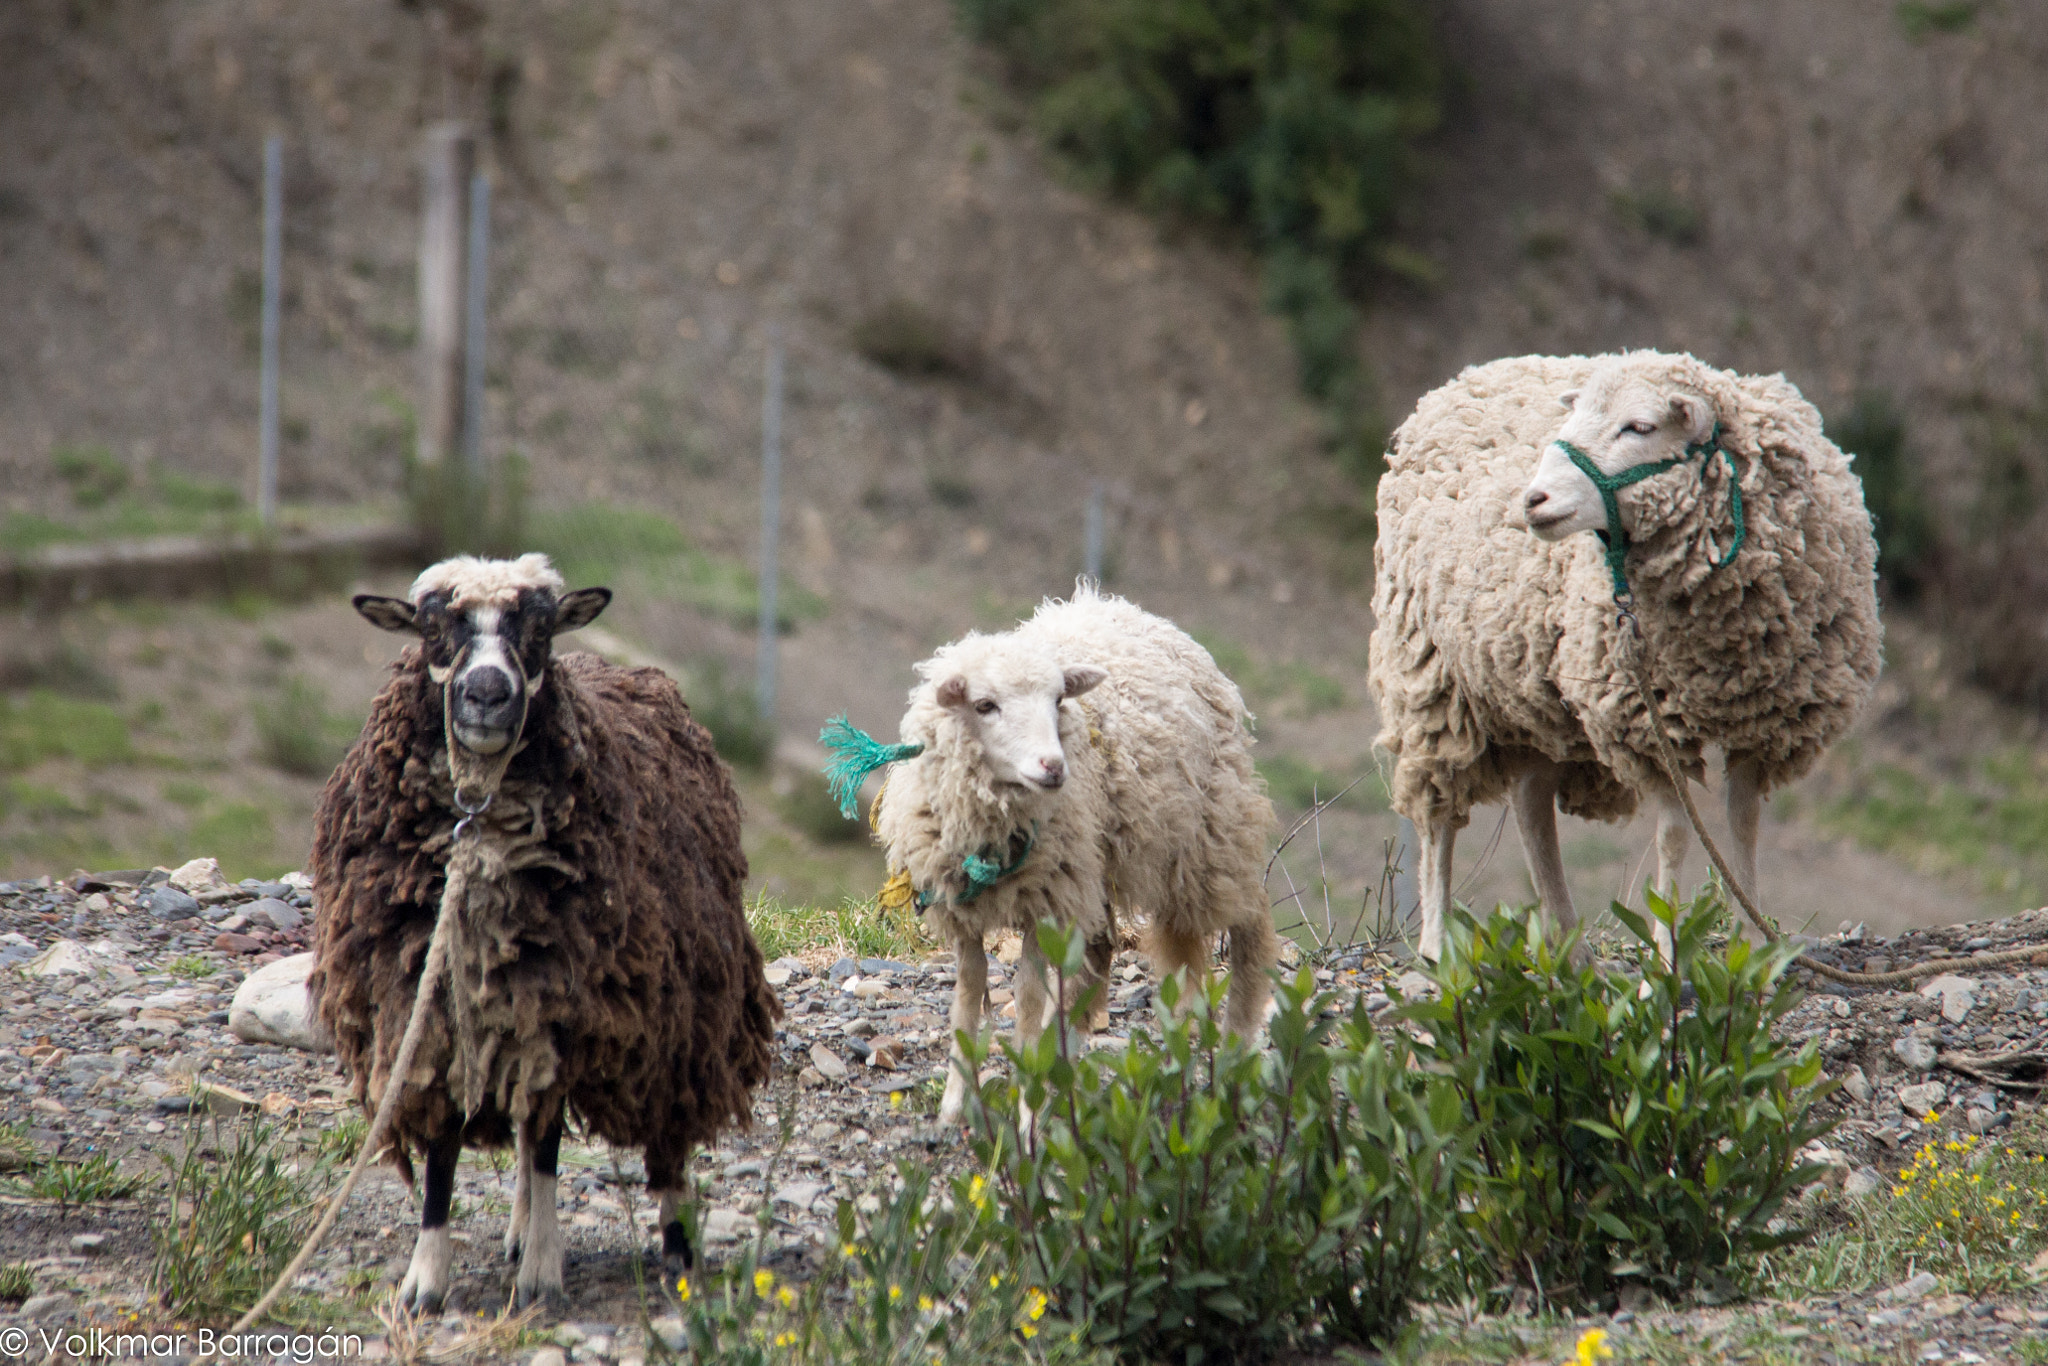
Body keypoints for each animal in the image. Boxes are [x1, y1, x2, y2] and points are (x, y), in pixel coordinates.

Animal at [308, 553, 781, 1312]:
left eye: (539, 628)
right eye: (432, 628)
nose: (487, 693)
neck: (478, 826)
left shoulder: (565, 1006)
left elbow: (552, 1142)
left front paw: (542, 1274)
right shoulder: (429, 1008)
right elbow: (445, 1154)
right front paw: (426, 1280)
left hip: (681, 1012)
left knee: (654, 1139)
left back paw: (675, 1245)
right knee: (529, 1136)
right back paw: (520, 1230)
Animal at [839, 584, 1279, 1127]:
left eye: (1057, 700)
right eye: (984, 705)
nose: (1053, 767)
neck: (993, 826)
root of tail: (1134, 612)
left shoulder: (1042, 901)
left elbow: (1028, 999)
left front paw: (1027, 1107)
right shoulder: (963, 905)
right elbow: (967, 995)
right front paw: (955, 1105)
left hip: (1211, 829)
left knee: (1249, 922)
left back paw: (1236, 1042)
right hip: (1102, 856)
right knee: (1102, 952)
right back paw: (1070, 1044)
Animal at [1369, 351, 1882, 961]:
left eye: (1638, 427)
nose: (1532, 501)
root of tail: (1468, 375)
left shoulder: (1765, 719)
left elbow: (1743, 823)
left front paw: (1755, 941)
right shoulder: (1645, 721)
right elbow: (1676, 835)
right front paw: (1666, 950)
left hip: (1537, 692)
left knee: (1531, 805)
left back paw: (1568, 943)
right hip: (1433, 676)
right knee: (1438, 817)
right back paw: (1435, 947)